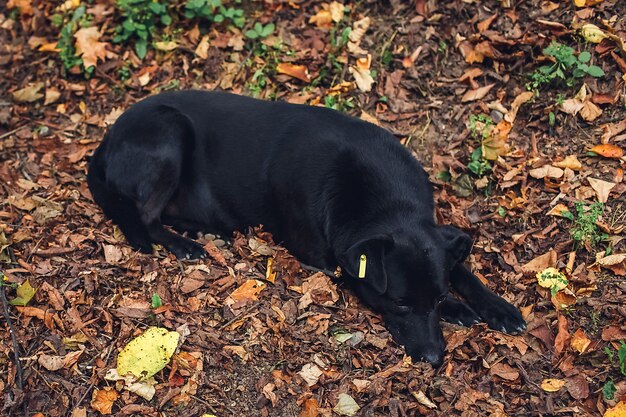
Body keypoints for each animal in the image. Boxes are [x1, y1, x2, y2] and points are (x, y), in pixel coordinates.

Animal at [88, 90, 524, 364]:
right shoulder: (328, 258)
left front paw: (496, 307)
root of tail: (106, 139)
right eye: (399, 303)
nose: (434, 359)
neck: (386, 201)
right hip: (169, 130)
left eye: (436, 298)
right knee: (147, 217)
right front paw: (462, 309)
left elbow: (460, 267)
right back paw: (184, 245)